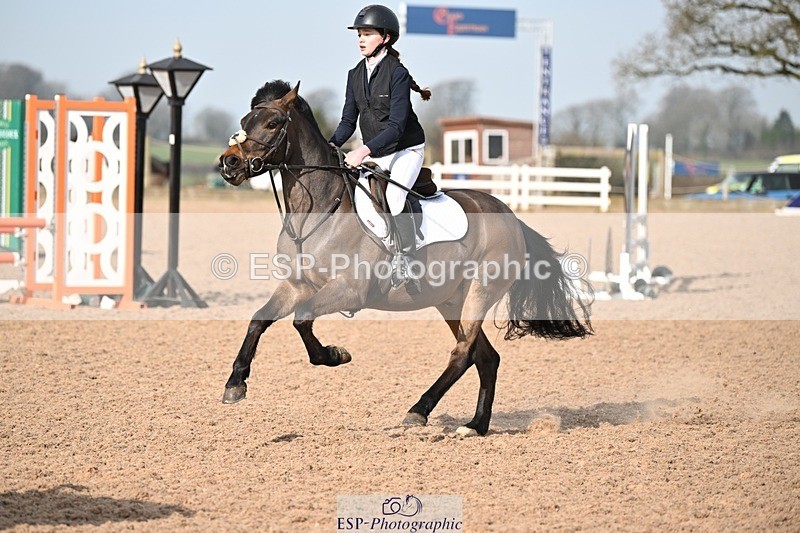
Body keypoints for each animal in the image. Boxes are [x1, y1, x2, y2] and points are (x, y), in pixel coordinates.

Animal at [217, 80, 592, 436]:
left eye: (272, 123)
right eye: (244, 122)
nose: (229, 164)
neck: (317, 210)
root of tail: (511, 215)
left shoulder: (348, 290)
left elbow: (302, 319)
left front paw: (335, 355)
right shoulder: (297, 285)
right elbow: (259, 319)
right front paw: (235, 383)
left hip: (479, 293)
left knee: (463, 354)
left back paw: (419, 411)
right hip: (451, 301)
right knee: (486, 358)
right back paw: (475, 426)